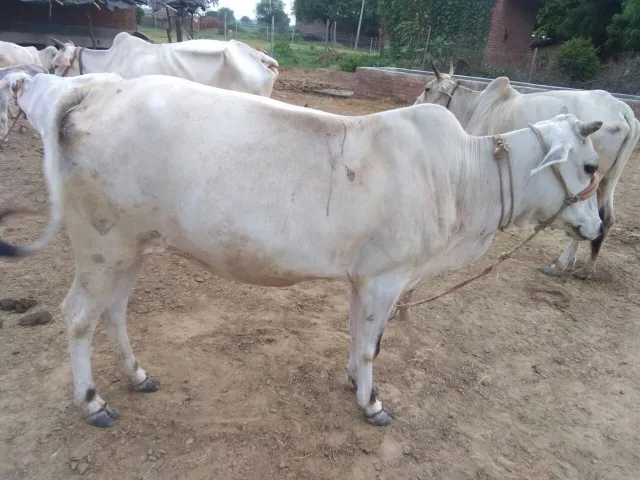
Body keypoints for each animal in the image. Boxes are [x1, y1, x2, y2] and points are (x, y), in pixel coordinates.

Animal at [0, 72, 603, 428]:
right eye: (589, 166)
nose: (597, 227)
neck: (458, 177)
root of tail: (98, 87)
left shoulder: (366, 280)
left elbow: (360, 337)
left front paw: (353, 381)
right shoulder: (386, 277)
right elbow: (371, 347)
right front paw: (372, 403)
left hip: (134, 245)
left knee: (115, 312)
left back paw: (137, 375)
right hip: (101, 244)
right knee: (79, 316)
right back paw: (93, 401)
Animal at [415, 63, 640, 279]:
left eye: (427, 89)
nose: (415, 103)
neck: (475, 105)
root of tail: (622, 109)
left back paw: (559, 264)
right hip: (610, 178)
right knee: (606, 219)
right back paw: (588, 268)